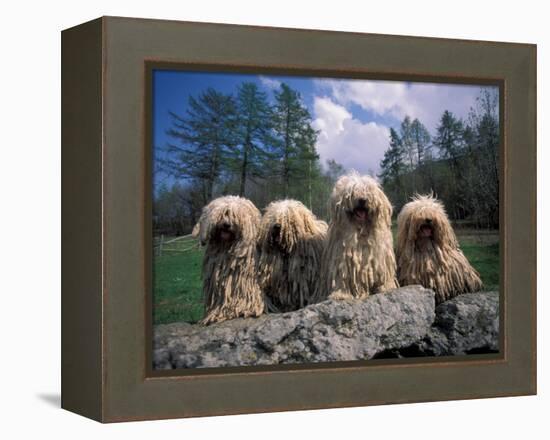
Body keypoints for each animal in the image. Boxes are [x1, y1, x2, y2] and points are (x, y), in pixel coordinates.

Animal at [322, 171, 398, 300]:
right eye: (352, 193)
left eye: (368, 190)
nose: (362, 200)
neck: (361, 229)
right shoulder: (343, 256)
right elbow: (342, 276)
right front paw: (341, 294)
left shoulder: (380, 255)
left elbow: (383, 272)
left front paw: (386, 287)